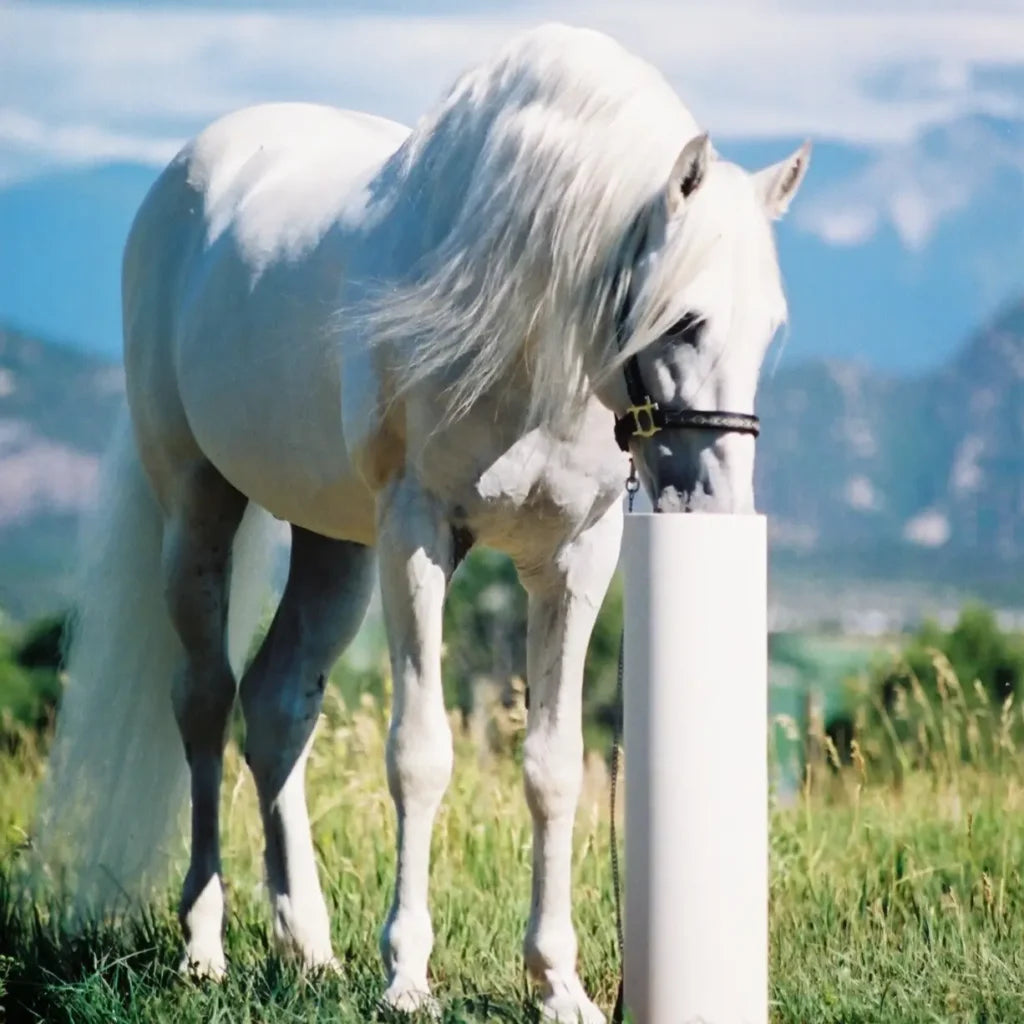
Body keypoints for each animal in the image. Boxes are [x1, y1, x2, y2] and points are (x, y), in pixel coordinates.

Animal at [36, 23, 808, 1023]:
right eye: (683, 321)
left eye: (768, 328)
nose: (718, 504)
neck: (524, 330)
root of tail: (190, 173)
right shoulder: (418, 538)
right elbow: (420, 755)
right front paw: (407, 976)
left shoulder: (574, 558)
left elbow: (555, 767)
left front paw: (558, 984)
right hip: (199, 508)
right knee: (203, 701)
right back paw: (204, 946)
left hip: (336, 546)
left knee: (277, 703)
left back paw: (309, 948)